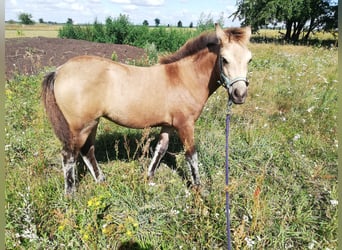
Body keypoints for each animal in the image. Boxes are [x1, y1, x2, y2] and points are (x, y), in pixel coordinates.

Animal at [42, 23, 251, 195]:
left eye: (249, 59)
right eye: (224, 59)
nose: (239, 94)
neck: (184, 77)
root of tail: (59, 70)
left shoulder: (169, 125)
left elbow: (160, 149)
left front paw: (148, 177)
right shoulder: (186, 125)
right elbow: (191, 155)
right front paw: (200, 189)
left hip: (92, 123)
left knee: (87, 151)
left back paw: (102, 181)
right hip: (80, 126)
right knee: (69, 155)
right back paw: (71, 194)